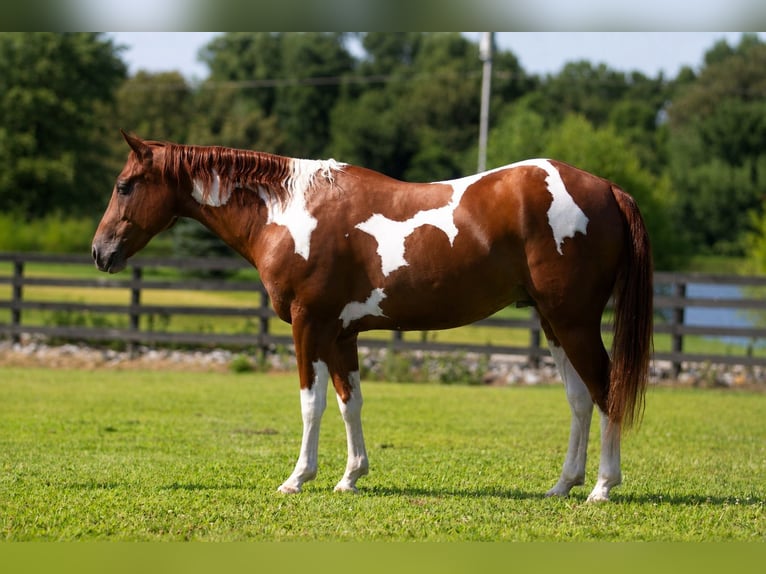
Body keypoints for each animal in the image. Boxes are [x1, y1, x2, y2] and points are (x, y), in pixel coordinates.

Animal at [92, 131, 653, 502]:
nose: (100, 252)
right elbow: (350, 403)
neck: (289, 210)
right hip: (554, 324)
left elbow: (311, 404)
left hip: (575, 322)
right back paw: (563, 484)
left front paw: (298, 478)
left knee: (605, 392)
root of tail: (608, 188)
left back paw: (602, 487)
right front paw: (350, 476)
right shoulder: (341, 334)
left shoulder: (309, 325)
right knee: (579, 400)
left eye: (124, 185)